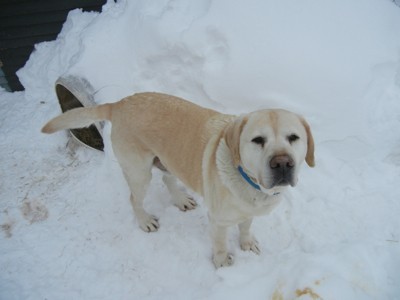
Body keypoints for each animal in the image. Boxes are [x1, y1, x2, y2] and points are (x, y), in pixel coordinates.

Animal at [42, 92, 314, 268]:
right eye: (258, 140)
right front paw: (222, 263)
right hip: (139, 173)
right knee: (133, 198)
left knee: (167, 180)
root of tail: (119, 103)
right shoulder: (218, 221)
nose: (282, 164)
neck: (250, 183)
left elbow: (246, 227)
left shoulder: (248, 212)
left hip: (168, 159)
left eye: (294, 137)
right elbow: (220, 245)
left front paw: (247, 243)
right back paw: (145, 221)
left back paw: (181, 199)